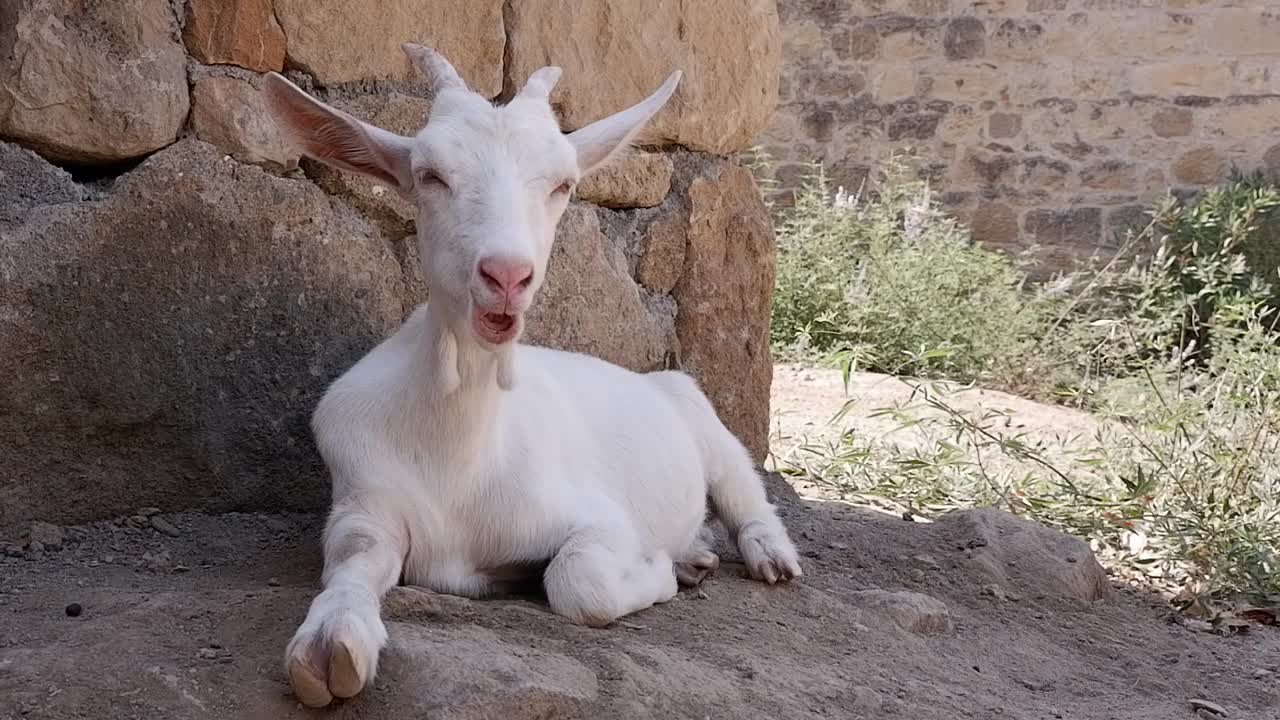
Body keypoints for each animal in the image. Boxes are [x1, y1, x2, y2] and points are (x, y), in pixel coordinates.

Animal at [259, 44, 798, 707]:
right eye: (430, 176)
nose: (507, 276)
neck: (462, 452)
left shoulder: (599, 518)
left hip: (702, 420)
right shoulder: (365, 500)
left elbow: (580, 582)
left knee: (742, 487)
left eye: (564, 184)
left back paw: (763, 555)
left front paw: (664, 572)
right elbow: (353, 558)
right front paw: (332, 643)